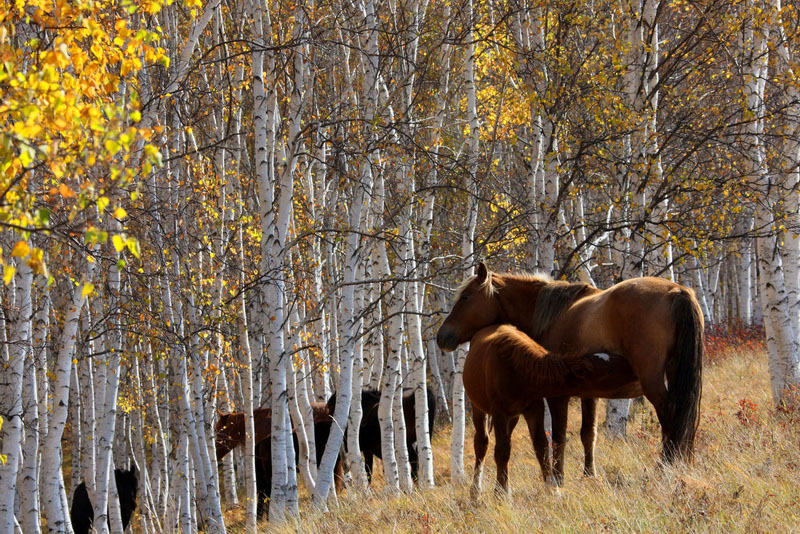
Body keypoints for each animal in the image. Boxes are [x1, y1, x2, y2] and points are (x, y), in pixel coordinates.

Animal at [438, 262, 708, 476]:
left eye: (466, 297)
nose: (442, 336)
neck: (551, 315)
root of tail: (677, 292)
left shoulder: (557, 395)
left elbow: (559, 437)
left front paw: (558, 477)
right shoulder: (590, 394)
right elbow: (588, 434)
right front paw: (589, 474)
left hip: (653, 384)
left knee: (670, 416)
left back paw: (666, 465)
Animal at [462, 326, 636, 498]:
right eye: (609, 370)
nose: (631, 367)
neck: (519, 372)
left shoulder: (534, 409)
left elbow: (542, 446)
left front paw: (552, 489)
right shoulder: (499, 412)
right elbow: (502, 451)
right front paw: (501, 492)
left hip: (513, 417)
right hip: (479, 408)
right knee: (482, 443)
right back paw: (475, 490)